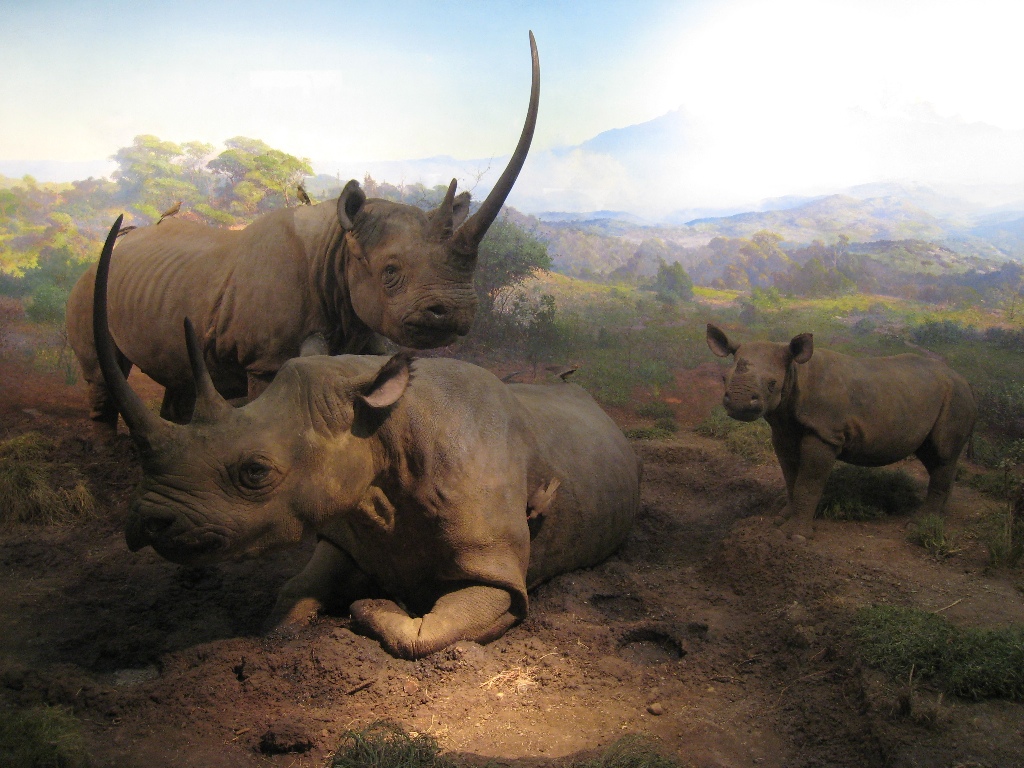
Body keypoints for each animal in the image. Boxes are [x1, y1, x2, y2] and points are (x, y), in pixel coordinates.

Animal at [67, 32, 540, 437]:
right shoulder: (265, 360)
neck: (338, 247)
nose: (456, 313)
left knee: (177, 373)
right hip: (91, 281)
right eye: (390, 272)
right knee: (102, 370)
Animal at [92, 217, 640, 659]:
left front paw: (370, 605)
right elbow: (295, 589)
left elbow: (431, 631)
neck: (383, 431)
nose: (145, 523)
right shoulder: (347, 521)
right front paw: (280, 631)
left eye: (255, 472)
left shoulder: (498, 574)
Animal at [706, 323, 976, 538]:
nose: (739, 403)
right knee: (934, 456)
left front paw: (795, 535)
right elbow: (791, 474)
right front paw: (782, 518)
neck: (794, 371)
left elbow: (809, 480)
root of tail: (966, 381)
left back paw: (918, 525)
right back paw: (939, 517)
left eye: (773, 384)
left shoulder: (825, 432)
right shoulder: (785, 430)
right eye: (723, 378)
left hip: (956, 398)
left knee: (942, 453)